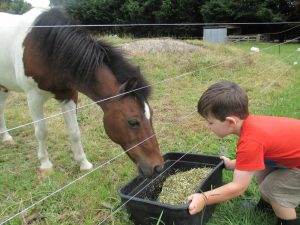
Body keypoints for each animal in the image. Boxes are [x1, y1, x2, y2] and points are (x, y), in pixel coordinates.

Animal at [0, 7, 164, 178]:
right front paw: (45, 165)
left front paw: (83, 164)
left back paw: (6, 138)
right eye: (133, 122)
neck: (48, 50)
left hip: (4, 87)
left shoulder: (69, 95)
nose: (158, 167)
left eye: (151, 115)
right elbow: (41, 132)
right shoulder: (34, 98)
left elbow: (74, 131)